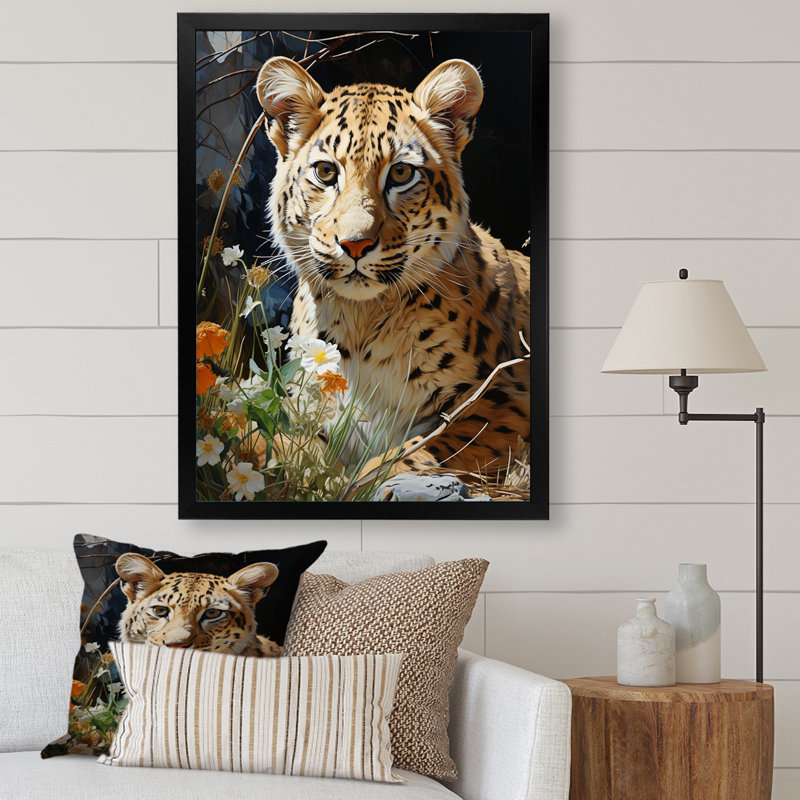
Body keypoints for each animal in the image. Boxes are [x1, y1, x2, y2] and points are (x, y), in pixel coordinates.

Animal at [256, 56, 530, 478]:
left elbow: (408, 453)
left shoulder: (504, 399)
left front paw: (356, 481)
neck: (358, 323)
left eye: (401, 173)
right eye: (326, 172)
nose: (355, 244)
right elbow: (281, 443)